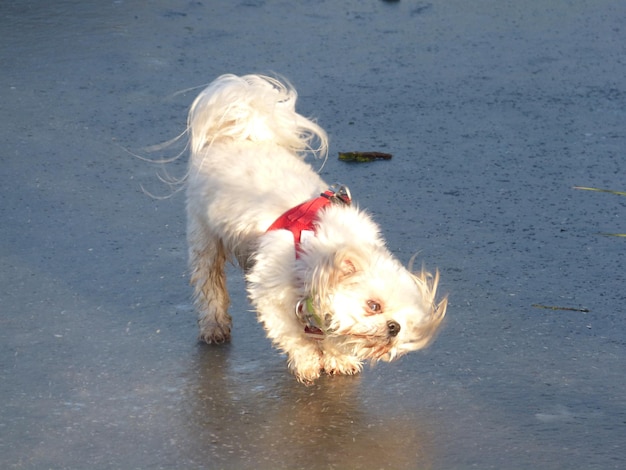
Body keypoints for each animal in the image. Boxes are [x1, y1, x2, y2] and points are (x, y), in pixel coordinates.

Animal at [183, 73, 446, 382]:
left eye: (404, 321)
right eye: (374, 306)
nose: (394, 327)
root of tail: (240, 134)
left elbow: (330, 334)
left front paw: (338, 359)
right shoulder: (271, 293)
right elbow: (291, 334)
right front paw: (307, 362)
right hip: (204, 235)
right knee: (209, 281)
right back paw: (214, 325)